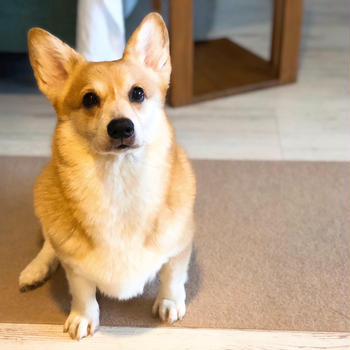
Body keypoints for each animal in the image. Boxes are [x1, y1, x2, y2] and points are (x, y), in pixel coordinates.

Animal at [17, 13, 196, 340]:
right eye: (89, 99)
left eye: (137, 93)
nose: (121, 127)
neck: (119, 179)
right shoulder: (75, 267)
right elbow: (82, 292)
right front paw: (83, 317)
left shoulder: (180, 244)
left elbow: (172, 276)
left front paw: (169, 302)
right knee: (49, 244)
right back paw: (34, 270)